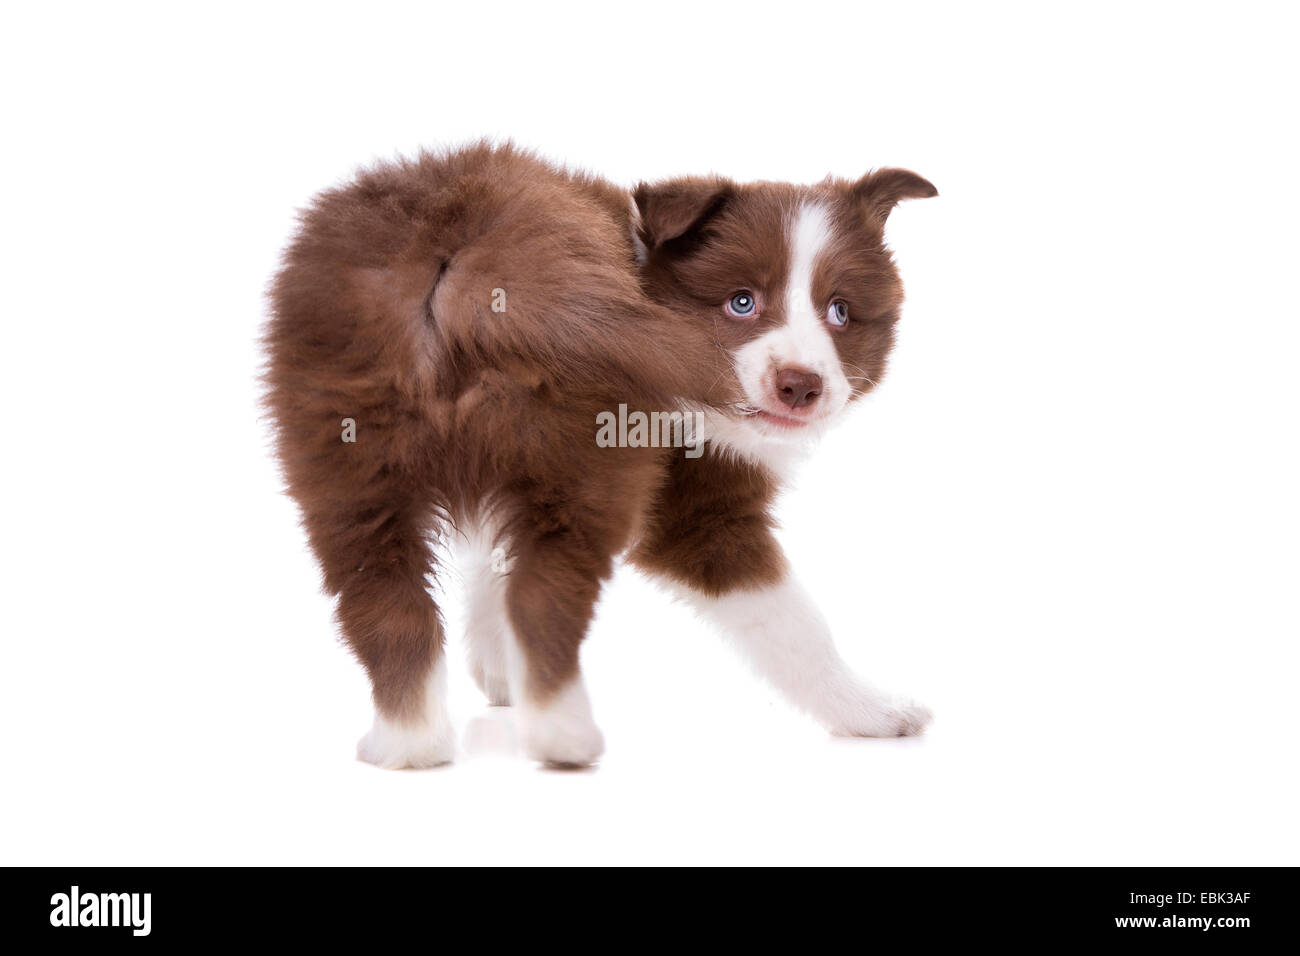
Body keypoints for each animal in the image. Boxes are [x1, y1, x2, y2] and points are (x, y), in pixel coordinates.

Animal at [263, 141, 935, 770]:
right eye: (741, 302)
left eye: (840, 312)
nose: (800, 385)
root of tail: (461, 247)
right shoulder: (694, 507)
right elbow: (793, 623)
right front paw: (875, 712)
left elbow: (490, 564)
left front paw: (499, 669)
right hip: (587, 454)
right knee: (541, 591)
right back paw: (562, 735)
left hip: (343, 444)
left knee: (382, 593)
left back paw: (408, 742)